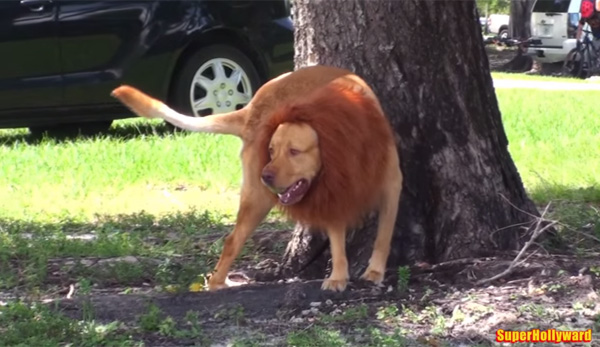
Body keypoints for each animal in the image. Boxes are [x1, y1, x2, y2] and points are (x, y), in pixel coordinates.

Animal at [112, 64, 404, 290]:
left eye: (294, 151)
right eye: (271, 150)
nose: (266, 175)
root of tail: (252, 105)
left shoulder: (390, 187)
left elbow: (383, 236)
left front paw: (374, 271)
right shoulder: (333, 196)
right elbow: (337, 242)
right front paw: (339, 277)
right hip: (257, 198)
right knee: (232, 241)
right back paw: (220, 283)